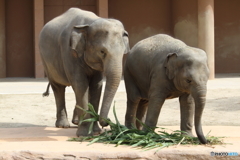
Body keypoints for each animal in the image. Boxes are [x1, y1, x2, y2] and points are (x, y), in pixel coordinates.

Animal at [39, 7, 129, 136]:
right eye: (102, 51)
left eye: (123, 53)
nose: (108, 121)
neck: (90, 23)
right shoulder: (69, 52)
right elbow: (81, 84)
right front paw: (84, 134)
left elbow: (96, 86)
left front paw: (96, 132)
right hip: (45, 60)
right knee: (58, 88)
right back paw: (63, 125)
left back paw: (76, 122)